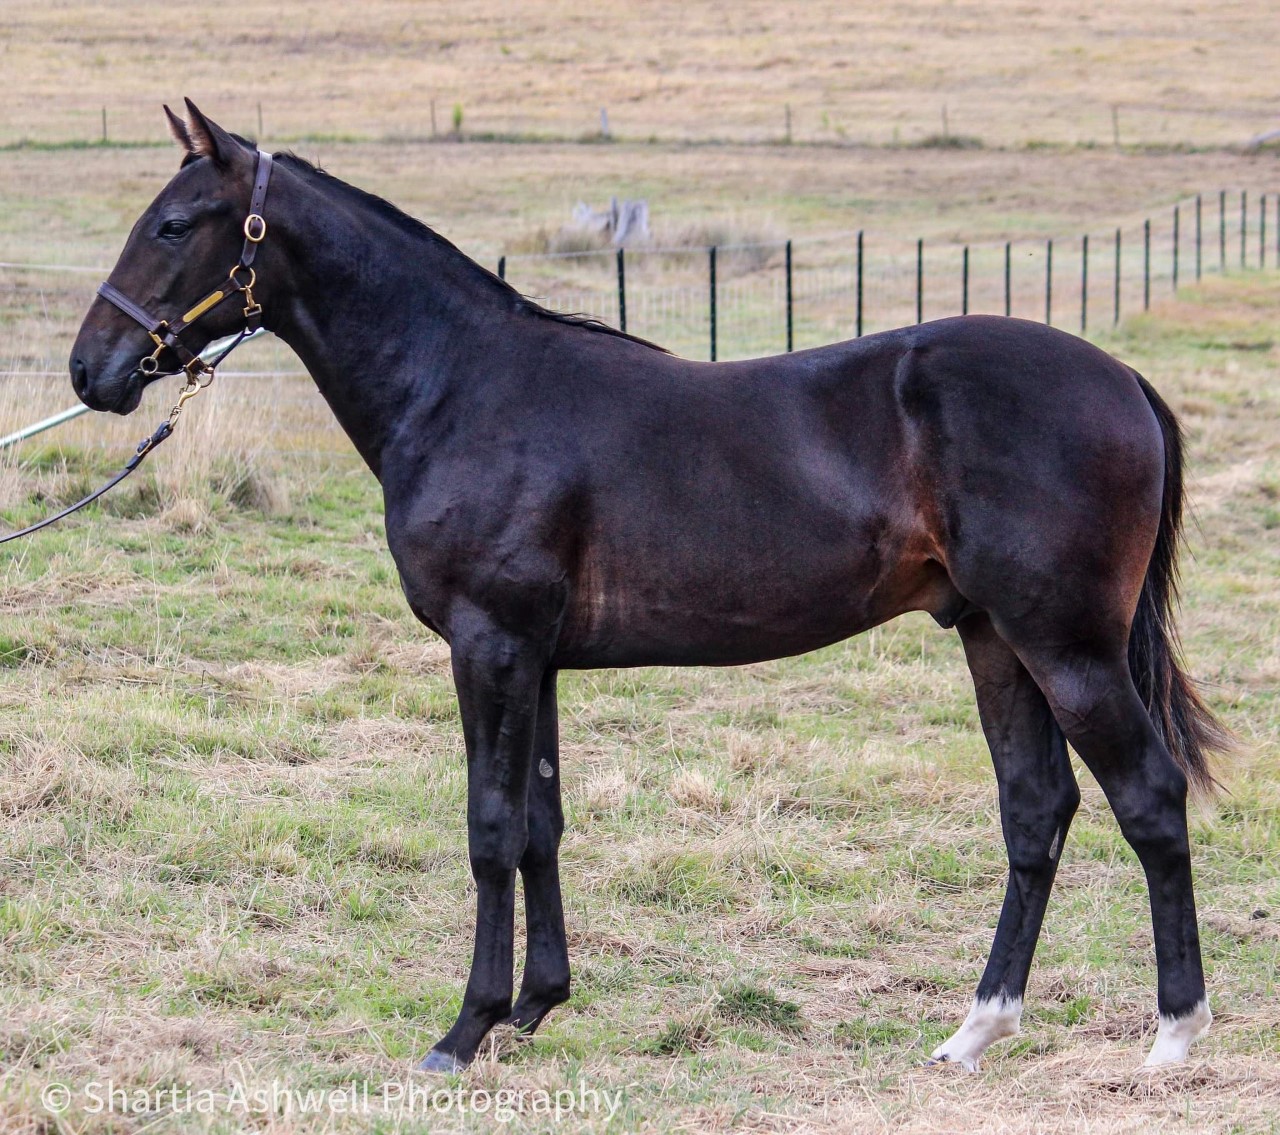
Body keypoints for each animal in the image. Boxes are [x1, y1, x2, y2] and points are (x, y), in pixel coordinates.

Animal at [69, 101, 1228, 1073]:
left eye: (174, 225)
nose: (93, 369)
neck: (460, 385)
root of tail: (1122, 380)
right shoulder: (533, 657)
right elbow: (539, 822)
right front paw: (535, 1005)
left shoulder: (488, 644)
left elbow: (489, 827)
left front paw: (464, 1029)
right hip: (992, 637)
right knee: (1035, 811)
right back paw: (975, 1029)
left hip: (1066, 646)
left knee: (1147, 797)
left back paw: (1172, 1036)